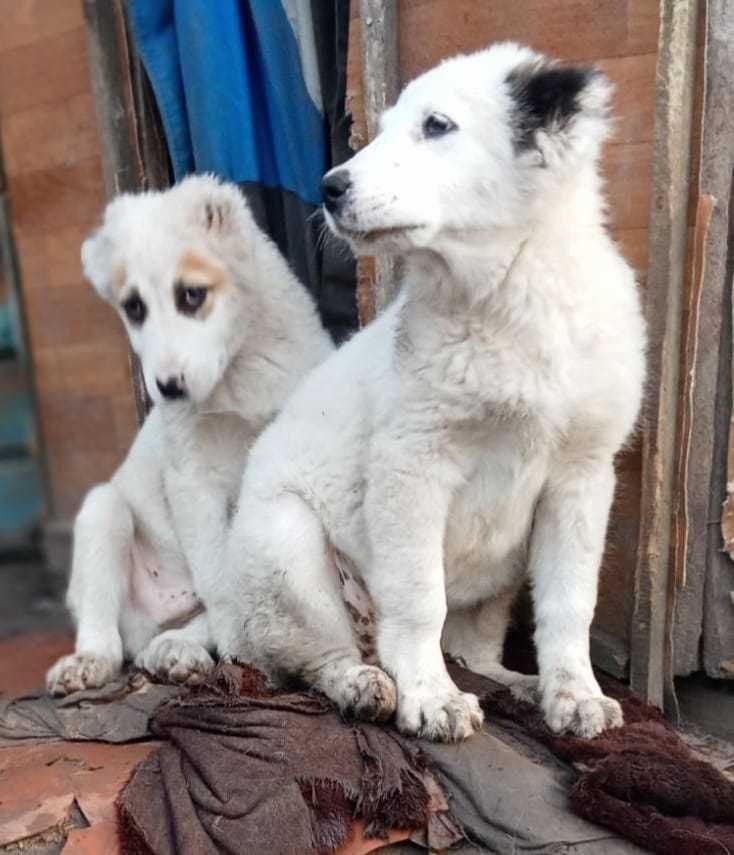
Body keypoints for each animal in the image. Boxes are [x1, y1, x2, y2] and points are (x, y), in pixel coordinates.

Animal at [46, 174, 334, 696]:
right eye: (134, 308)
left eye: (192, 295)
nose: (169, 387)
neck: (237, 375)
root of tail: (160, 614)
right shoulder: (192, 480)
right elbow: (221, 579)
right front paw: (244, 656)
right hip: (104, 509)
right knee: (111, 637)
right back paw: (93, 661)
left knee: (170, 634)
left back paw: (176, 651)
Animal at [210, 45, 648, 744]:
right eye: (384, 128)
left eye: (437, 126)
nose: (330, 188)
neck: (509, 292)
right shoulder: (411, 463)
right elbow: (419, 599)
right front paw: (430, 697)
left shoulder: (582, 475)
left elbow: (569, 602)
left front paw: (573, 692)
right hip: (285, 546)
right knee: (313, 655)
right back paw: (364, 683)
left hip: (495, 583)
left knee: (469, 650)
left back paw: (515, 684)